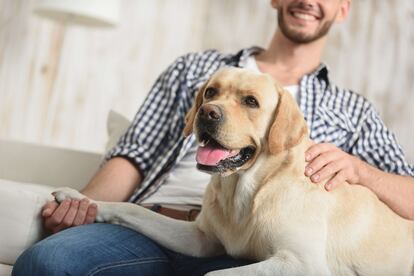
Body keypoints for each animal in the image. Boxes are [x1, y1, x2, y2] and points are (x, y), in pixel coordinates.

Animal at [53, 67, 412, 276]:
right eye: (211, 92)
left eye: (251, 101)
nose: (207, 113)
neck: (248, 190)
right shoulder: (200, 239)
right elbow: (130, 209)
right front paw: (78, 199)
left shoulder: (302, 262)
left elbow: (213, 274)